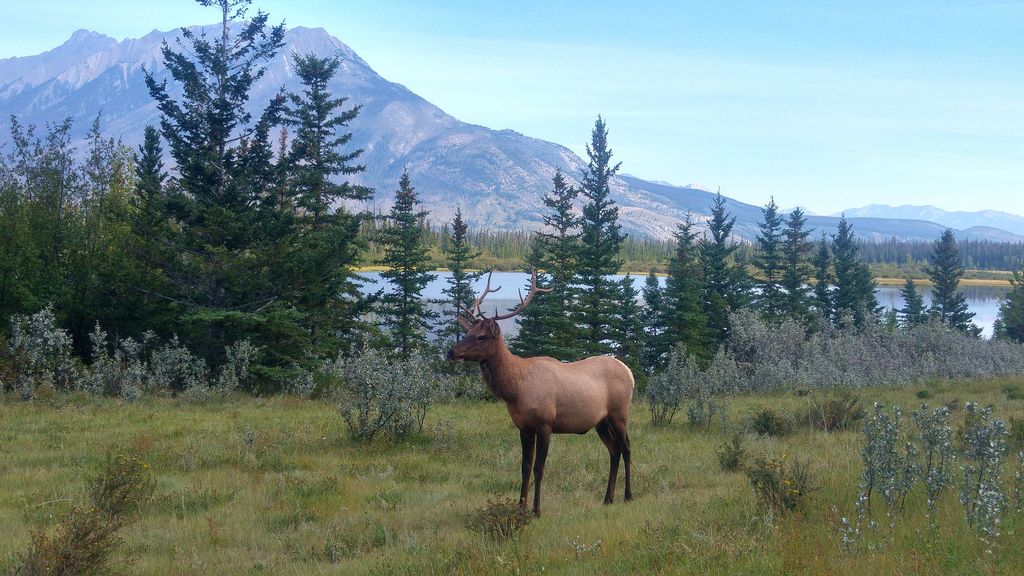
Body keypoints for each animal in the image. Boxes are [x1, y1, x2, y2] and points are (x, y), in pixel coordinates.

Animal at [446, 270, 630, 512]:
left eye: (481, 336)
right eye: (467, 331)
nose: (451, 352)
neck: (516, 391)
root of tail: (629, 371)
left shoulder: (545, 424)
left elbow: (538, 468)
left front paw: (536, 510)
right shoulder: (524, 427)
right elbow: (524, 468)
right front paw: (520, 507)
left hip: (620, 413)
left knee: (627, 449)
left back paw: (628, 496)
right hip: (601, 421)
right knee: (614, 450)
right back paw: (608, 498)